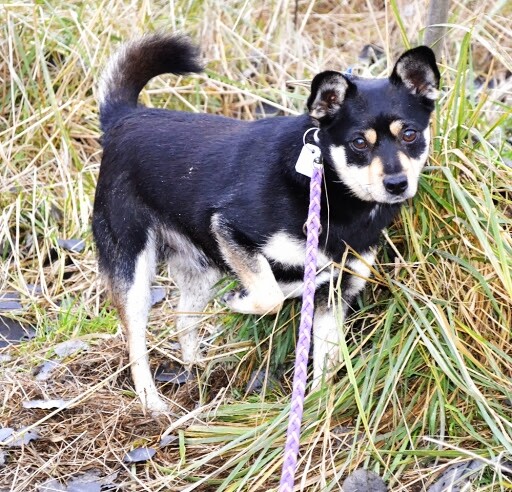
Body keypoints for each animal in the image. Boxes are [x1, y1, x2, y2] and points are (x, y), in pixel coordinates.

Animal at [93, 33, 440, 413]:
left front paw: (314, 409)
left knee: (184, 319)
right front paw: (242, 301)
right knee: (136, 340)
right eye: (359, 142)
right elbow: (270, 295)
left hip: (203, 268)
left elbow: (326, 362)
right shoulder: (231, 228)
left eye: (410, 135)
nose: (397, 184)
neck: (327, 189)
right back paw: (151, 401)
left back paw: (198, 369)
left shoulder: (334, 292)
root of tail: (125, 117)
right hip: (134, 270)